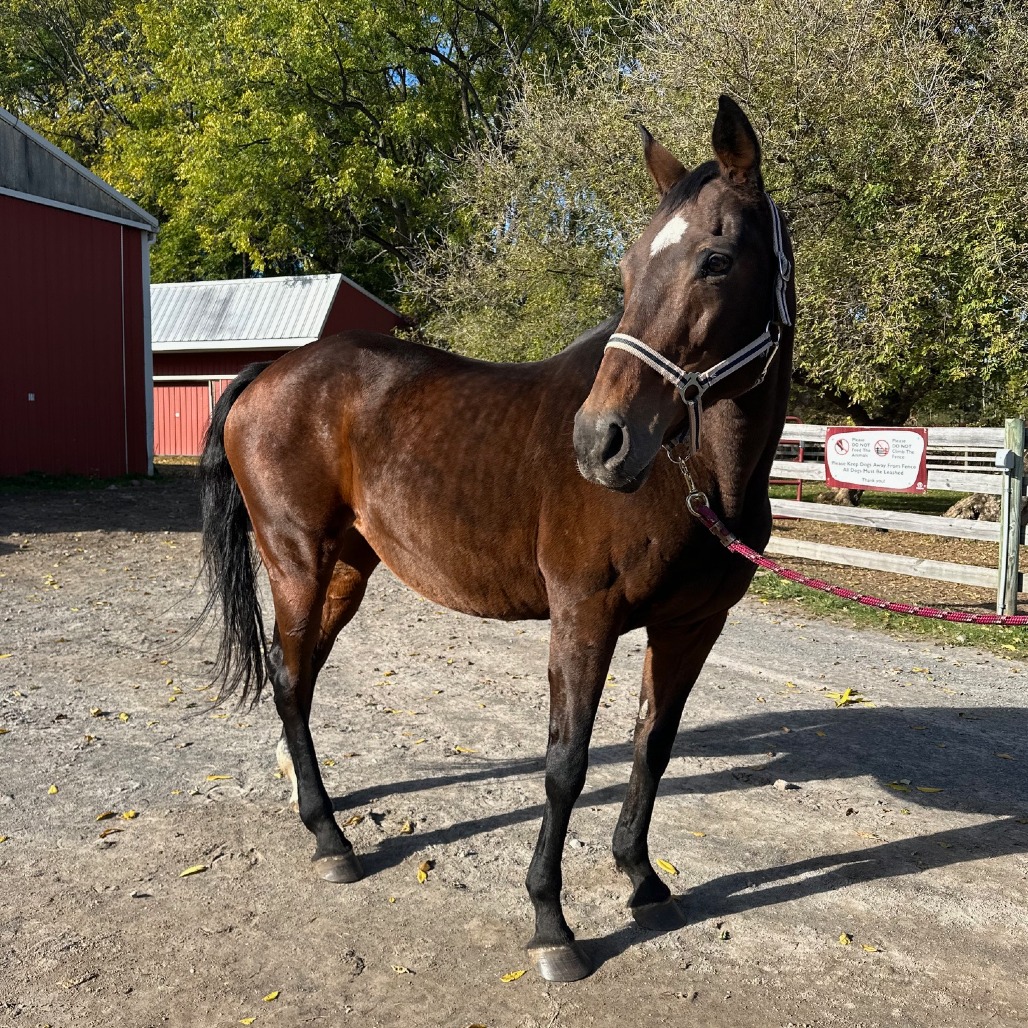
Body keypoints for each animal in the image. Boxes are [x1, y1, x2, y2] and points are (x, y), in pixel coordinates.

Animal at [198, 95, 795, 982]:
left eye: (716, 260)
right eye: (626, 270)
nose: (601, 441)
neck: (692, 471)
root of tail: (270, 372)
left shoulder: (692, 626)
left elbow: (652, 746)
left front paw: (642, 878)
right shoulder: (584, 617)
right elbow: (566, 764)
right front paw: (552, 923)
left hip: (345, 572)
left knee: (296, 680)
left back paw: (315, 811)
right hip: (298, 564)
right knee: (291, 679)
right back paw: (331, 838)